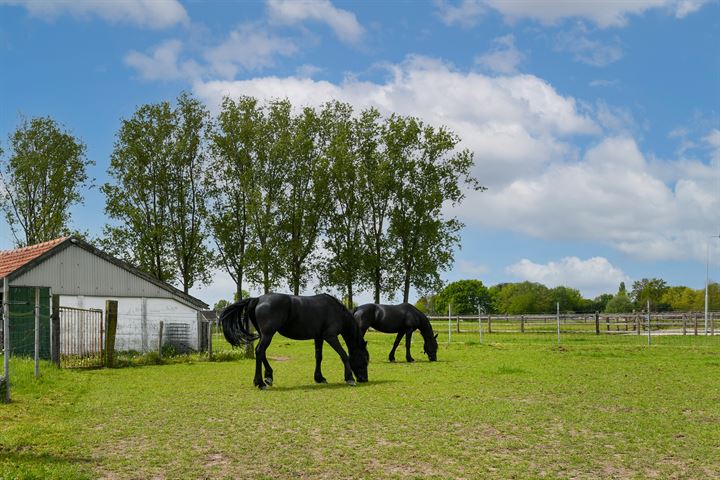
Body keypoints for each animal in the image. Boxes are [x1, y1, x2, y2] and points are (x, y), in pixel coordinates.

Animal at [219, 292, 368, 390]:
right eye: (364, 360)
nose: (364, 379)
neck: (335, 311)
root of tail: (258, 299)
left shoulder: (319, 337)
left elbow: (318, 357)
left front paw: (319, 378)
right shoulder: (330, 336)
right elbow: (343, 355)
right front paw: (350, 378)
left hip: (264, 335)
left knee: (262, 353)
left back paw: (268, 377)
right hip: (268, 334)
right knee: (260, 351)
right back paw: (260, 383)